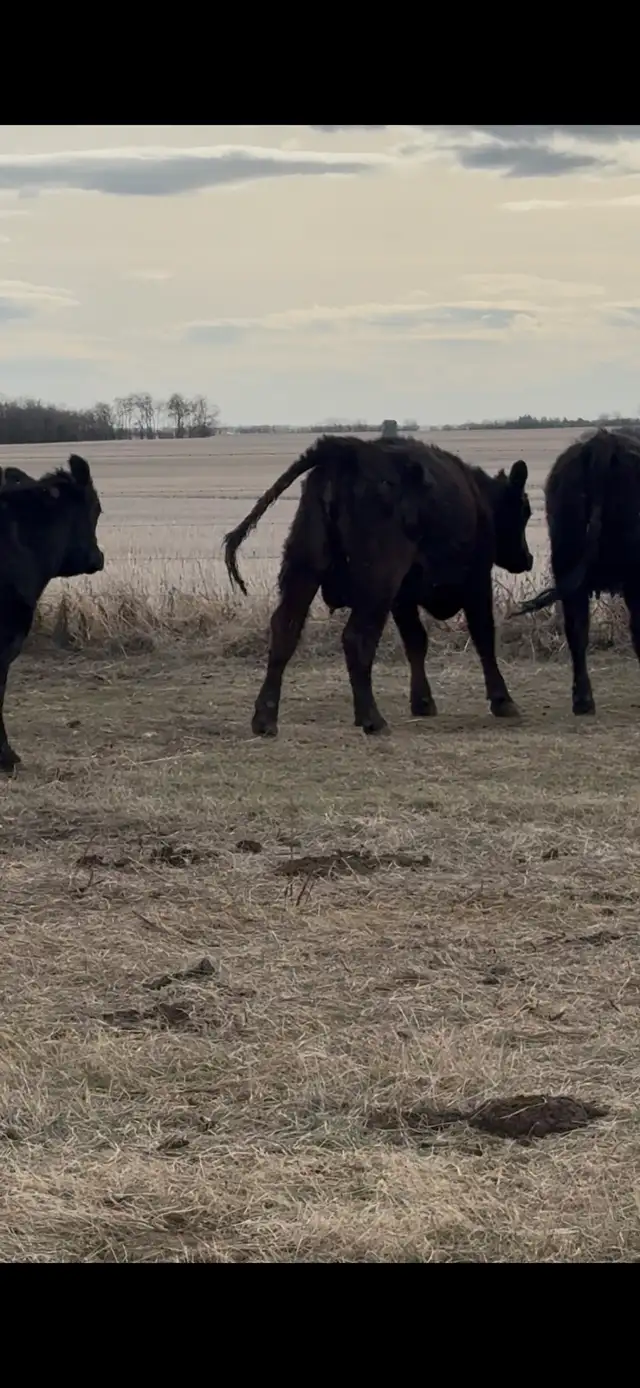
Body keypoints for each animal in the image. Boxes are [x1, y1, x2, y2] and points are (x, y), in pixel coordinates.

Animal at [223, 433, 533, 737]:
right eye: (525, 512)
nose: (528, 558)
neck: (480, 499)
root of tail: (349, 450)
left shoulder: (403, 596)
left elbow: (416, 641)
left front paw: (422, 701)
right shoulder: (477, 579)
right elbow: (483, 636)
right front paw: (503, 700)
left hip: (304, 567)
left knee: (285, 630)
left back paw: (265, 719)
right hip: (378, 579)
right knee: (356, 638)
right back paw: (372, 719)